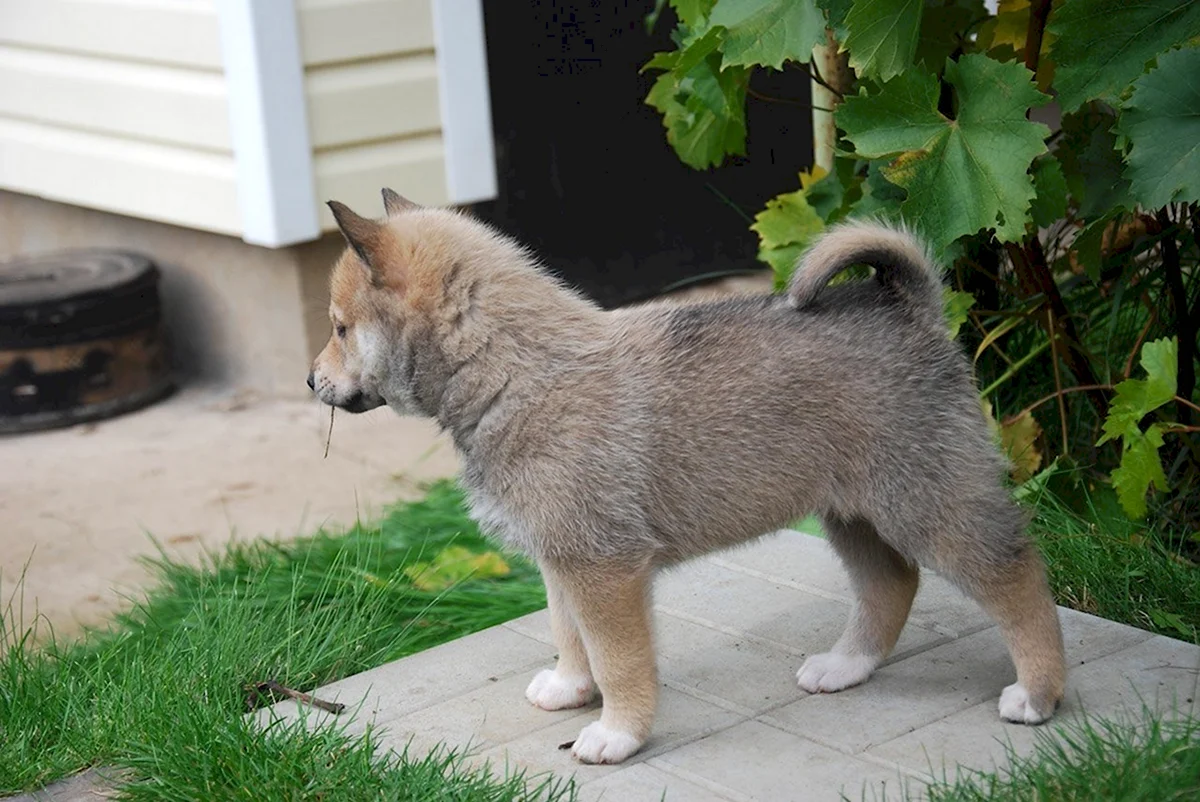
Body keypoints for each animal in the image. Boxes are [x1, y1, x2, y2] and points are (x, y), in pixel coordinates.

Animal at [312, 188, 1070, 763]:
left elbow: (618, 658)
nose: (311, 380)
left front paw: (616, 733)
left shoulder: (604, 570)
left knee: (1017, 576)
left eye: (341, 328)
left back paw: (1038, 693)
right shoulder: (562, 559)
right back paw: (845, 666)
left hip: (928, 502)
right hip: (851, 510)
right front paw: (570, 687)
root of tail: (909, 308)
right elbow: (567, 631)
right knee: (892, 583)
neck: (515, 370)